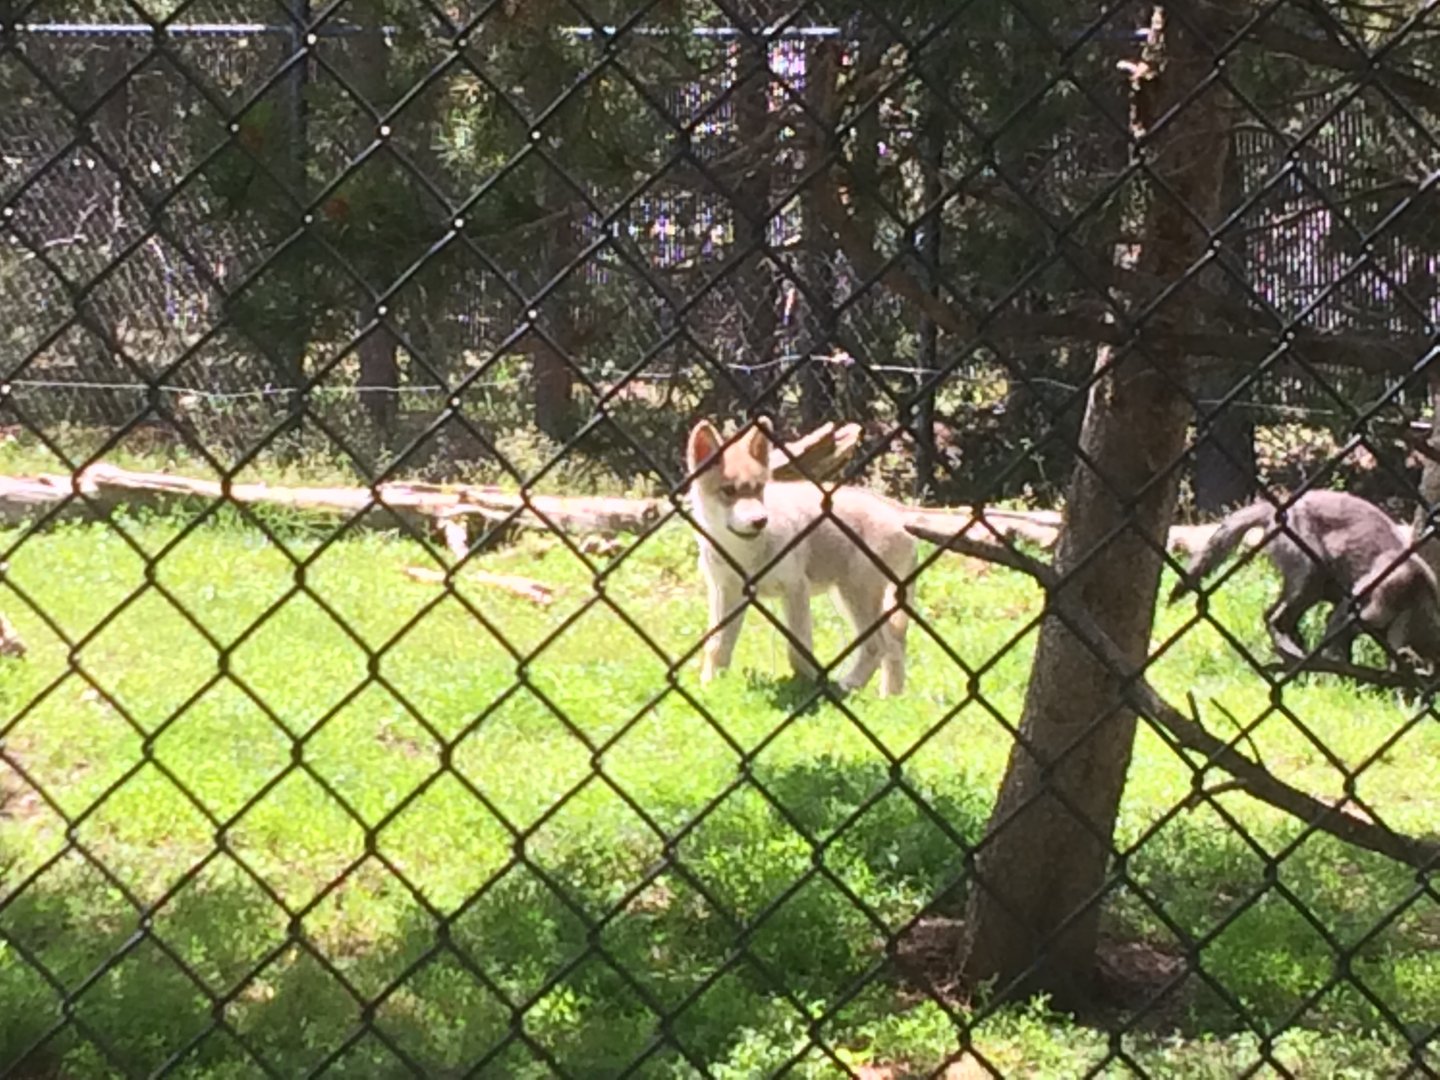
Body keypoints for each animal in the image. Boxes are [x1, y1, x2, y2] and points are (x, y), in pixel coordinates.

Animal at [685, 418, 918, 696]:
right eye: (728, 491)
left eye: (759, 489)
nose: (760, 520)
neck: (743, 552)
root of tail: (902, 517)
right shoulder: (727, 592)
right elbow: (717, 645)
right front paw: (709, 686)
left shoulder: (795, 588)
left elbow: (797, 649)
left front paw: (809, 685)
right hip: (856, 599)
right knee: (894, 645)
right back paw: (890, 697)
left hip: (855, 596)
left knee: (879, 646)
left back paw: (849, 685)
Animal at [1168, 489, 1440, 667]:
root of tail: (1277, 508)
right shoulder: (1363, 603)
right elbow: (1338, 635)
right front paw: (1340, 674)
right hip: (1311, 572)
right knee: (1274, 616)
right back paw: (1295, 654)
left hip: (1313, 585)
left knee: (1273, 614)